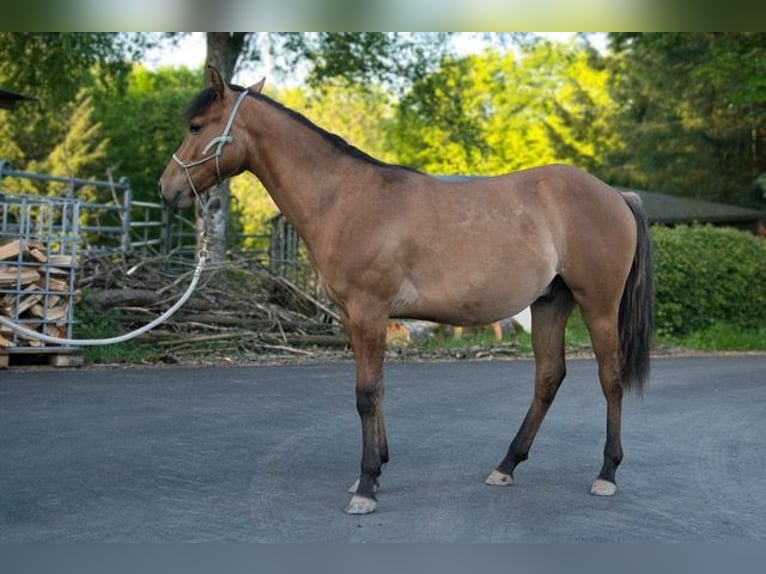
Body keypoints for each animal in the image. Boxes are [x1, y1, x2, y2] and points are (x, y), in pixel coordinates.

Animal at [159, 66, 653, 515]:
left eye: (196, 126)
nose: (168, 189)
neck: (345, 199)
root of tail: (616, 195)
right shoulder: (353, 316)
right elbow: (376, 389)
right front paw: (375, 469)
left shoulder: (368, 310)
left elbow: (365, 395)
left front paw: (365, 486)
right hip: (550, 302)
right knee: (548, 378)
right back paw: (506, 465)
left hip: (598, 304)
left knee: (610, 378)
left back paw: (606, 473)